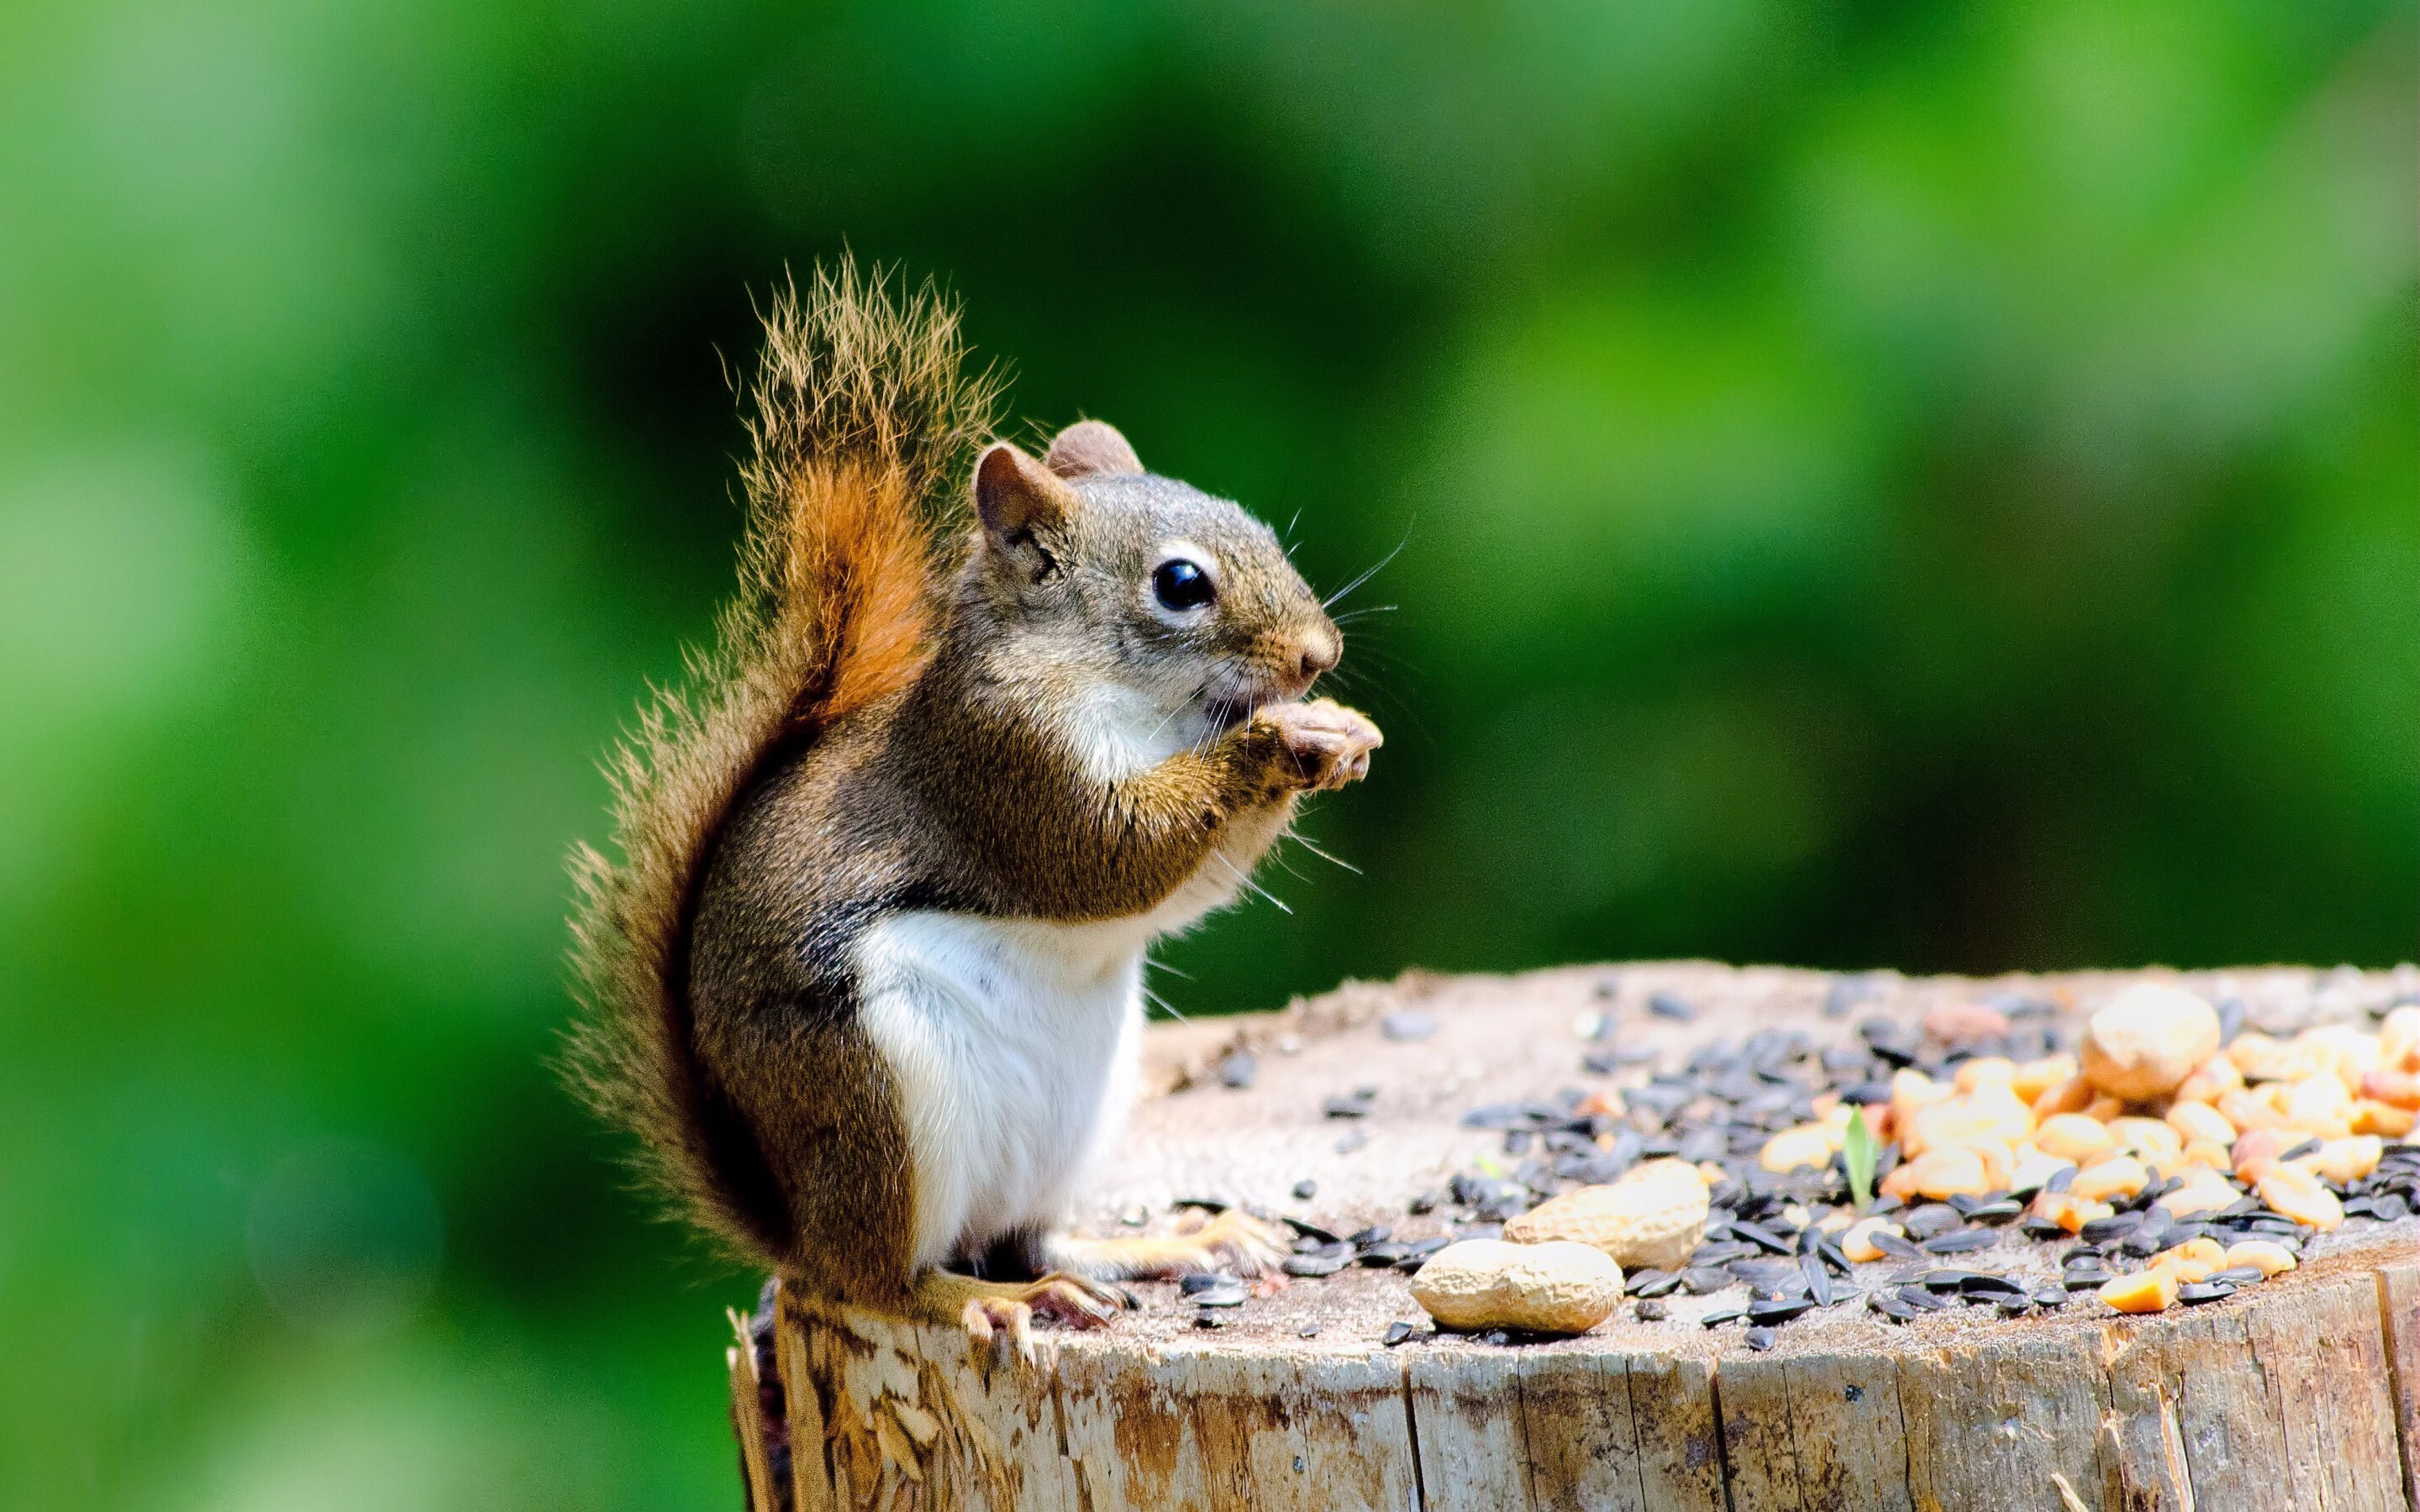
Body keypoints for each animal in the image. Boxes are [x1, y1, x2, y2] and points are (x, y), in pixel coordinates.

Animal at [566, 264, 1381, 1351]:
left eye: (1257, 529)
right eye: (1180, 584)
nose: (1318, 656)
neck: (1141, 704)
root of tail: (794, 1223)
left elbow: (1186, 885)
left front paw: (1338, 731)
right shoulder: (1004, 764)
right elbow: (1109, 854)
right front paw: (1277, 743)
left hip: (1071, 1119)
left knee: (1031, 1236)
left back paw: (1162, 1246)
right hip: (877, 1099)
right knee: (884, 1279)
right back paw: (986, 1300)